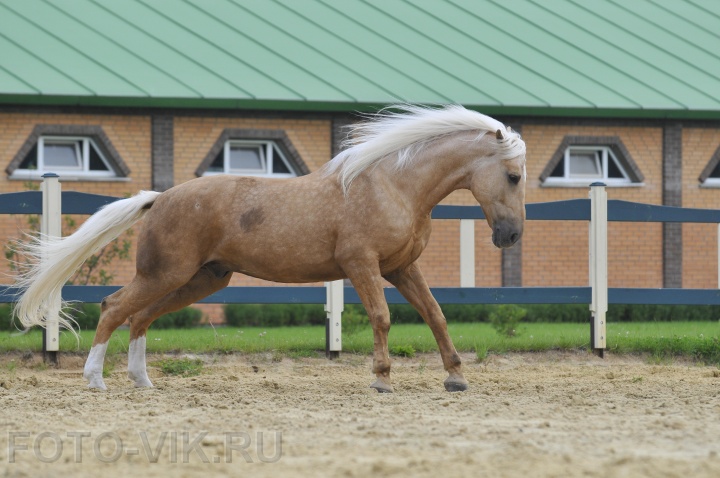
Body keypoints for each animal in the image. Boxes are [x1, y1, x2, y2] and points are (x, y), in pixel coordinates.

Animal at [14, 104, 524, 392]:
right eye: (513, 175)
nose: (511, 236)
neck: (391, 187)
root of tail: (160, 198)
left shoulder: (402, 268)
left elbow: (435, 315)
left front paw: (456, 377)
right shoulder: (362, 265)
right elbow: (382, 318)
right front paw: (381, 380)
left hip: (200, 281)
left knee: (140, 317)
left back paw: (143, 382)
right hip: (164, 274)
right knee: (114, 307)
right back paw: (95, 380)